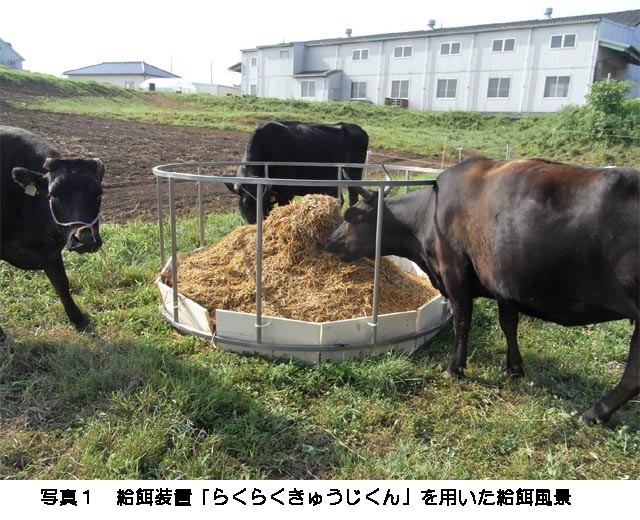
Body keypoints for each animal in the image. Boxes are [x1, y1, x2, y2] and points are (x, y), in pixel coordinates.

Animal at [0, 124, 105, 340]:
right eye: (54, 194)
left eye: (98, 193)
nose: (85, 239)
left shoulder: (50, 252)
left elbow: (62, 284)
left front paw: (78, 319)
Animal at [226, 122, 368, 223]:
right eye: (246, 203)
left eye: (264, 201)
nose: (258, 221)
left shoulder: (287, 192)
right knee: (340, 200)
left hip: (355, 175)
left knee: (353, 198)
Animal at [328, 158, 636, 426]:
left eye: (352, 219)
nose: (329, 241)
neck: (430, 216)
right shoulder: (504, 285)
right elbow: (509, 324)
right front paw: (514, 368)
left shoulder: (455, 274)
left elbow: (462, 322)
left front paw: (455, 368)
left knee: (633, 374)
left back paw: (594, 413)